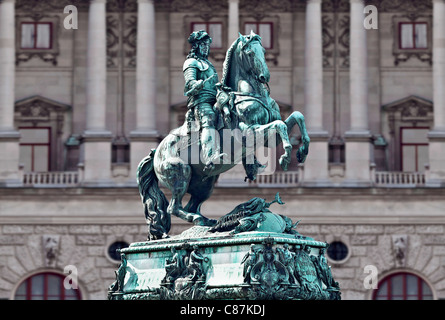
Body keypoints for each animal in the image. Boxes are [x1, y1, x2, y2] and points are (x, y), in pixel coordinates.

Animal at [135, 31, 308, 239]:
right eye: (249, 52)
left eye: (264, 50)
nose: (264, 76)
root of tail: (156, 151)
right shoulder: (249, 133)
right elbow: (280, 125)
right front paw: (286, 155)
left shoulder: (270, 138)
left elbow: (296, 117)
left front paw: (302, 150)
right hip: (180, 172)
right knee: (173, 207)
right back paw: (198, 220)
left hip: (205, 183)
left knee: (191, 205)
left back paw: (208, 222)